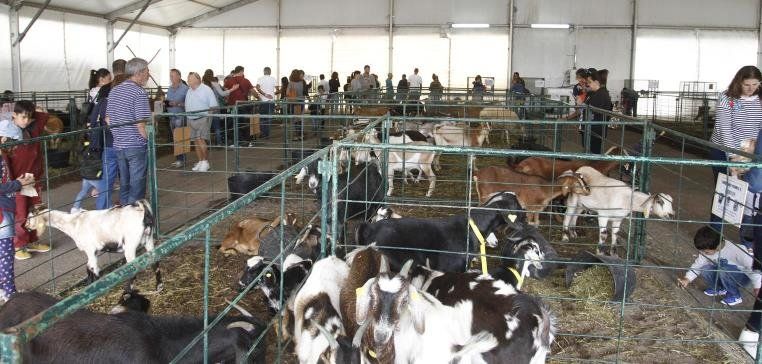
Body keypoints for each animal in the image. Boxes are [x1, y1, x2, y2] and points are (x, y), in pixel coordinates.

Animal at [25, 200, 161, 292]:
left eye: (29, 217)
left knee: (134, 268)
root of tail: (143, 211)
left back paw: (127, 292)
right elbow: (89, 268)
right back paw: (158, 287)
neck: (73, 223)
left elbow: (93, 269)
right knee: (155, 261)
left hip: (130, 245)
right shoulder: (93, 251)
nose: (25, 227)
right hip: (148, 240)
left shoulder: (90, 249)